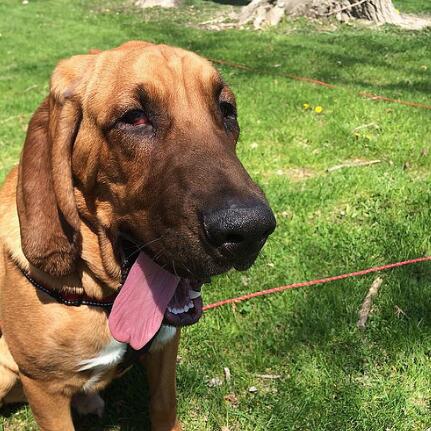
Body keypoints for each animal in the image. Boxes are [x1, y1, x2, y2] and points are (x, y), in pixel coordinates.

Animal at [0, 41, 276, 430]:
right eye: (134, 117)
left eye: (226, 110)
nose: (250, 230)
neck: (101, 296)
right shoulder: (45, 389)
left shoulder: (164, 347)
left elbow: (163, 407)